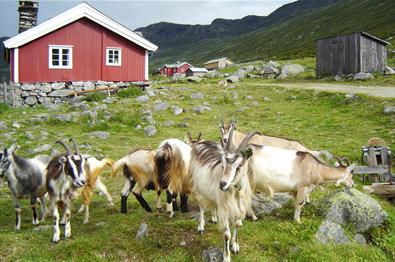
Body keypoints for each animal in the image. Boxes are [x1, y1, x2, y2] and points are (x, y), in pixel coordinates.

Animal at [190, 133, 258, 262]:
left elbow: (237, 225)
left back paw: (214, 217)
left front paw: (235, 246)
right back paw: (201, 227)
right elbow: (227, 234)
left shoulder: (238, 207)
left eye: (239, 166)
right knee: (201, 207)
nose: (222, 184)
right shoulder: (225, 208)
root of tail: (201, 143)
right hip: (198, 188)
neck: (235, 192)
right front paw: (226, 257)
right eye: (222, 164)